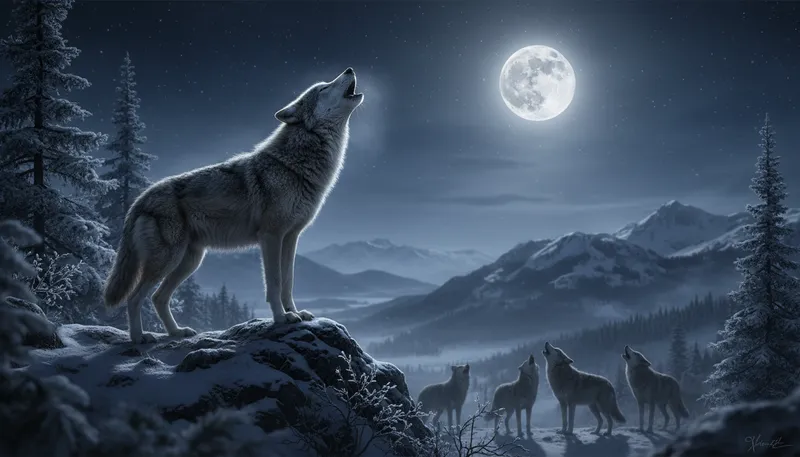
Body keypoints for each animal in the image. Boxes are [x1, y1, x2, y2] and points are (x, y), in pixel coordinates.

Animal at [102, 68, 364, 344]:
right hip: (168, 260)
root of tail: (139, 200)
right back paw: (139, 338)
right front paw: (281, 318)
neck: (294, 165)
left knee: (158, 297)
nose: (349, 69)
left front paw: (294, 313)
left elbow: (288, 281)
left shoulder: (291, 237)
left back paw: (177, 332)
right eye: (324, 88)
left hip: (189, 261)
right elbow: (274, 282)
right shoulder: (271, 236)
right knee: (135, 297)